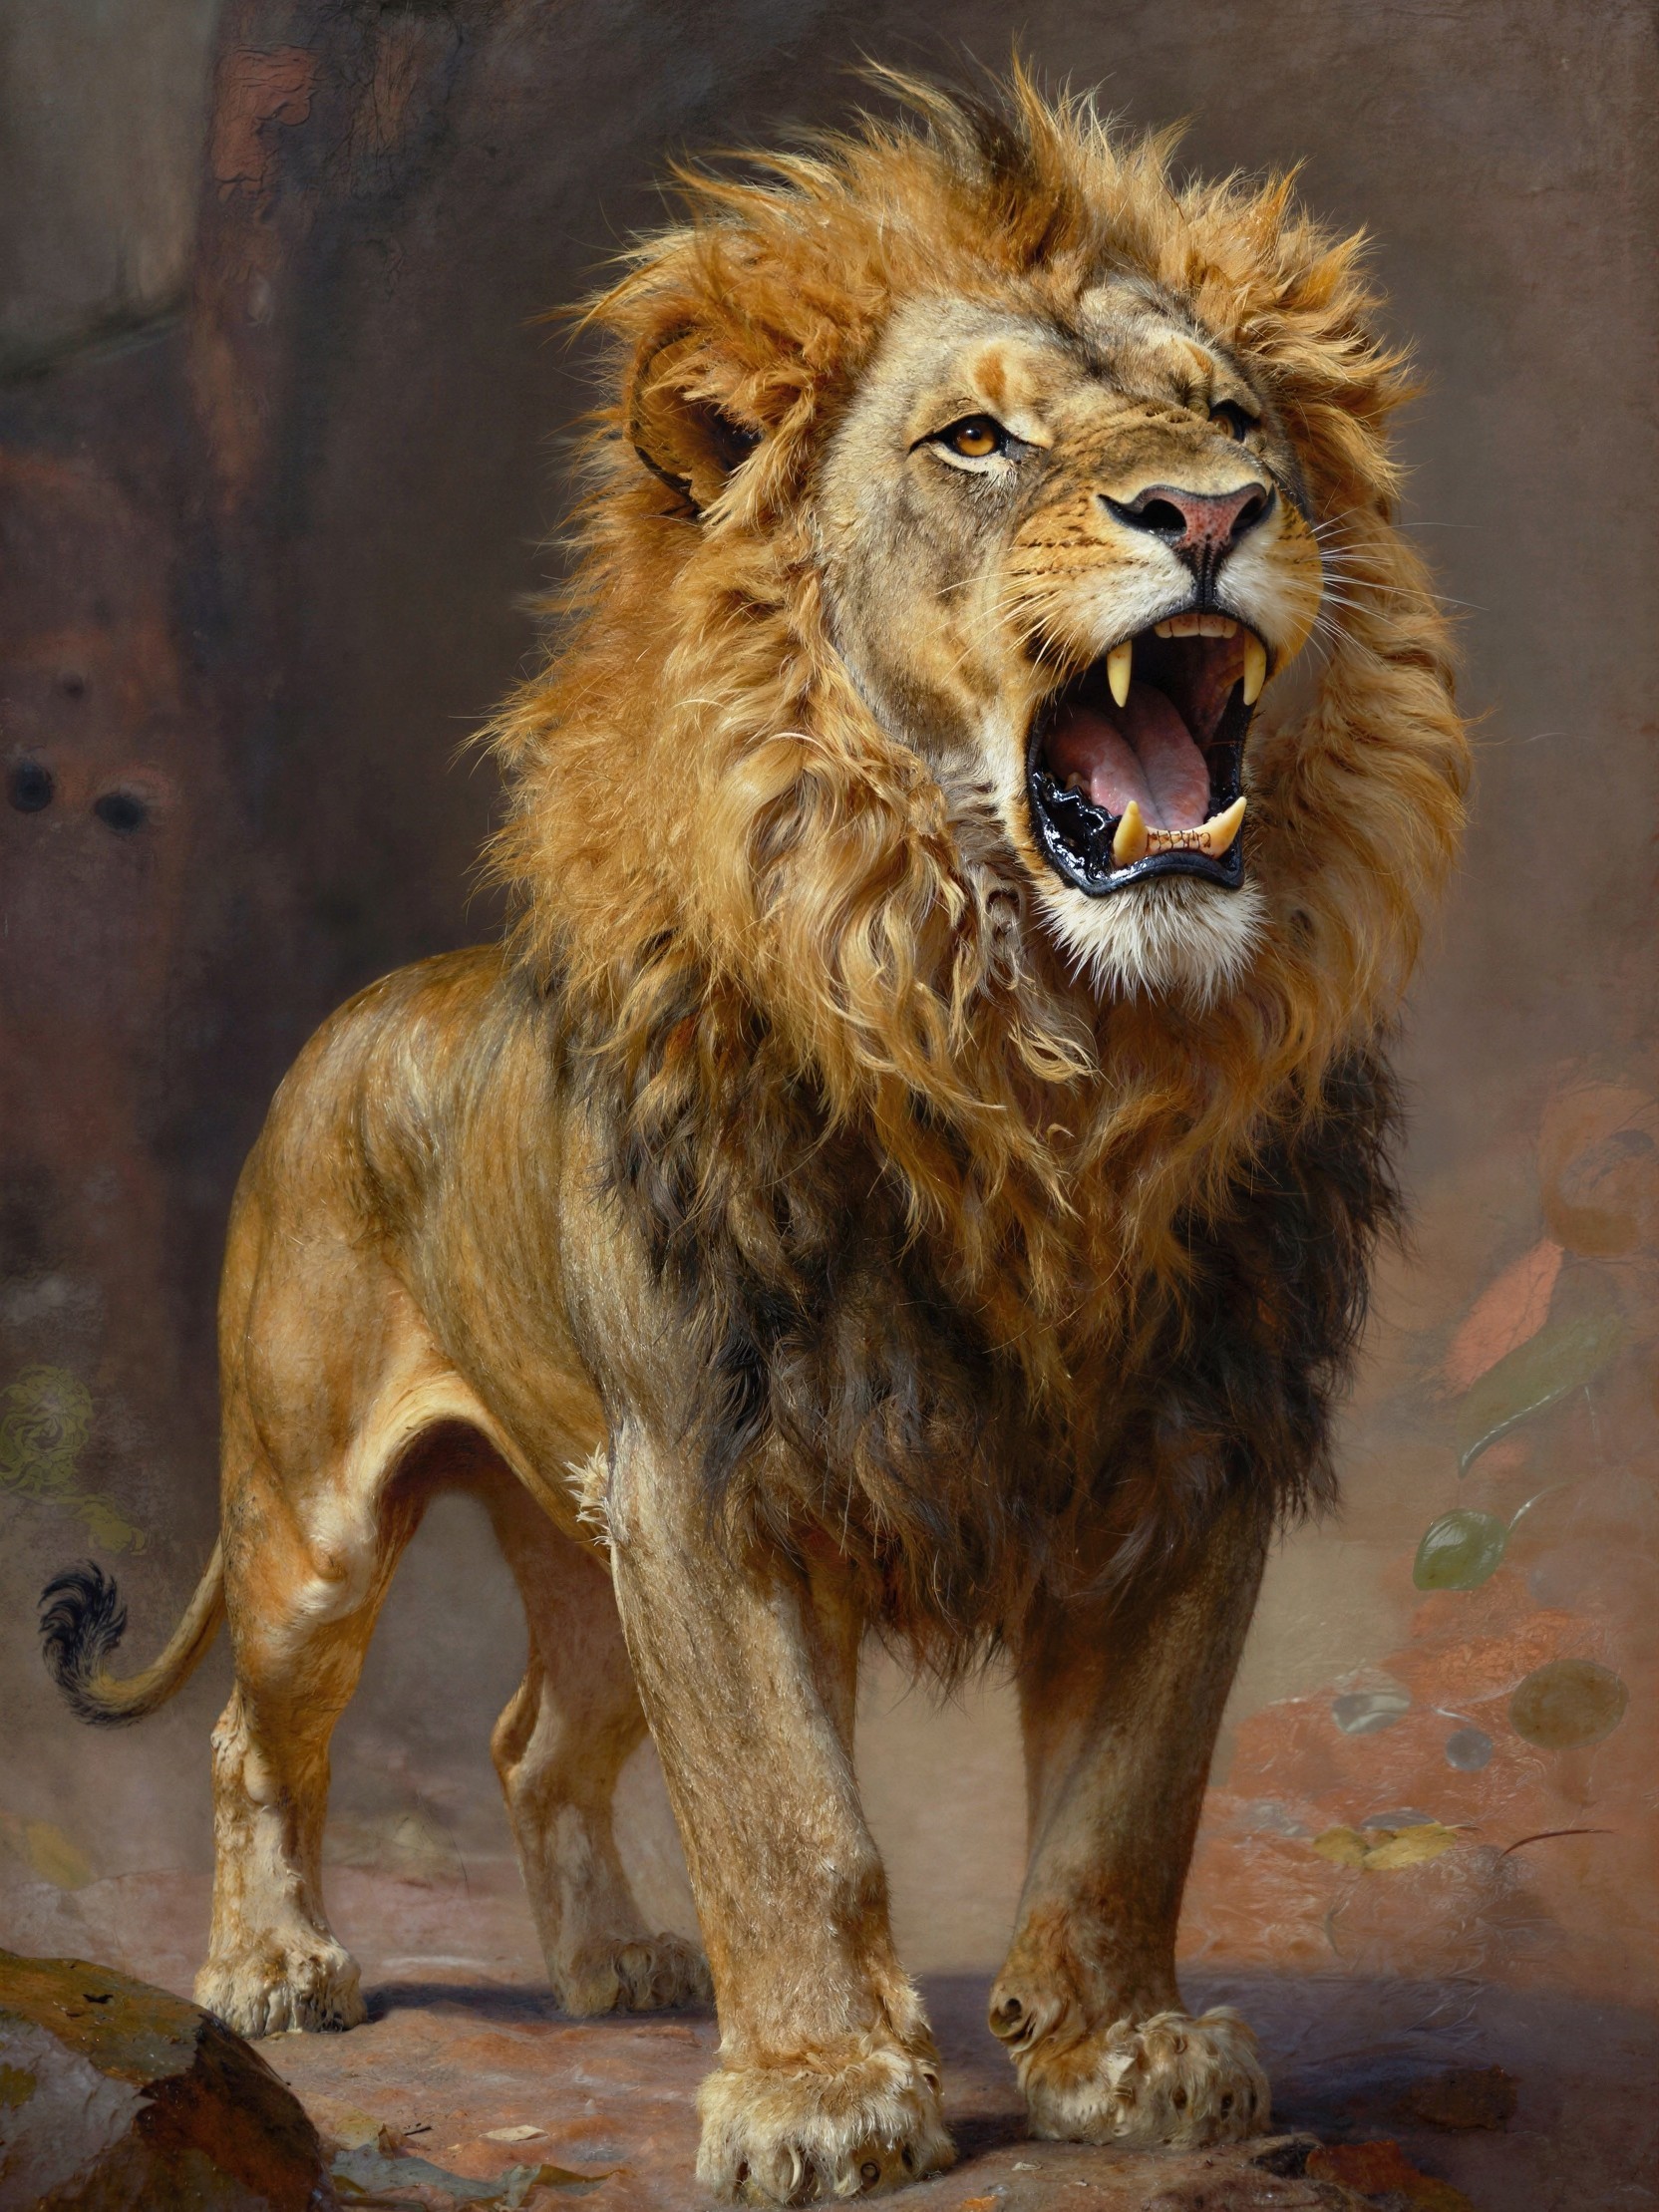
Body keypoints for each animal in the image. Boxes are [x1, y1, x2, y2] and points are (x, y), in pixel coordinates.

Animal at [40, 70, 1466, 2203]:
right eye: (974, 440)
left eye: (1228, 416)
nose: (1215, 514)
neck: (1046, 1066)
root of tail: (360, 1011)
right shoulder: (710, 1481)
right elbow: (790, 1818)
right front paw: (816, 2092)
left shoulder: (1187, 1455)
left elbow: (1127, 1804)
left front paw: (1114, 2054)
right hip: (316, 1521)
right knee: (250, 1740)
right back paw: (277, 1968)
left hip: (572, 1535)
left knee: (531, 1740)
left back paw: (611, 1963)